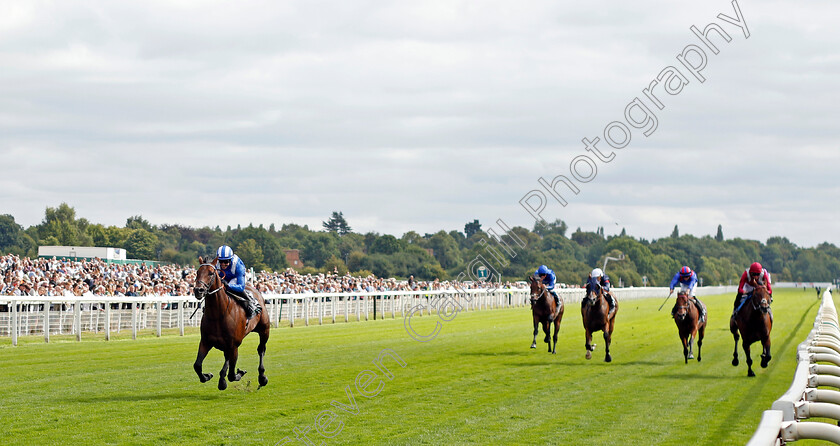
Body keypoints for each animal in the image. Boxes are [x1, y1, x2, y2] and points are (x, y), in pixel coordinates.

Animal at [193, 258, 270, 390]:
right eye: (197, 272)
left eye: (211, 273)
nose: (198, 290)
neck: (218, 315)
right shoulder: (205, 342)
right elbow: (197, 365)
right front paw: (207, 376)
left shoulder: (233, 345)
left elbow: (230, 374)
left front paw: (234, 376)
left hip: (264, 330)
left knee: (261, 350)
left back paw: (262, 378)